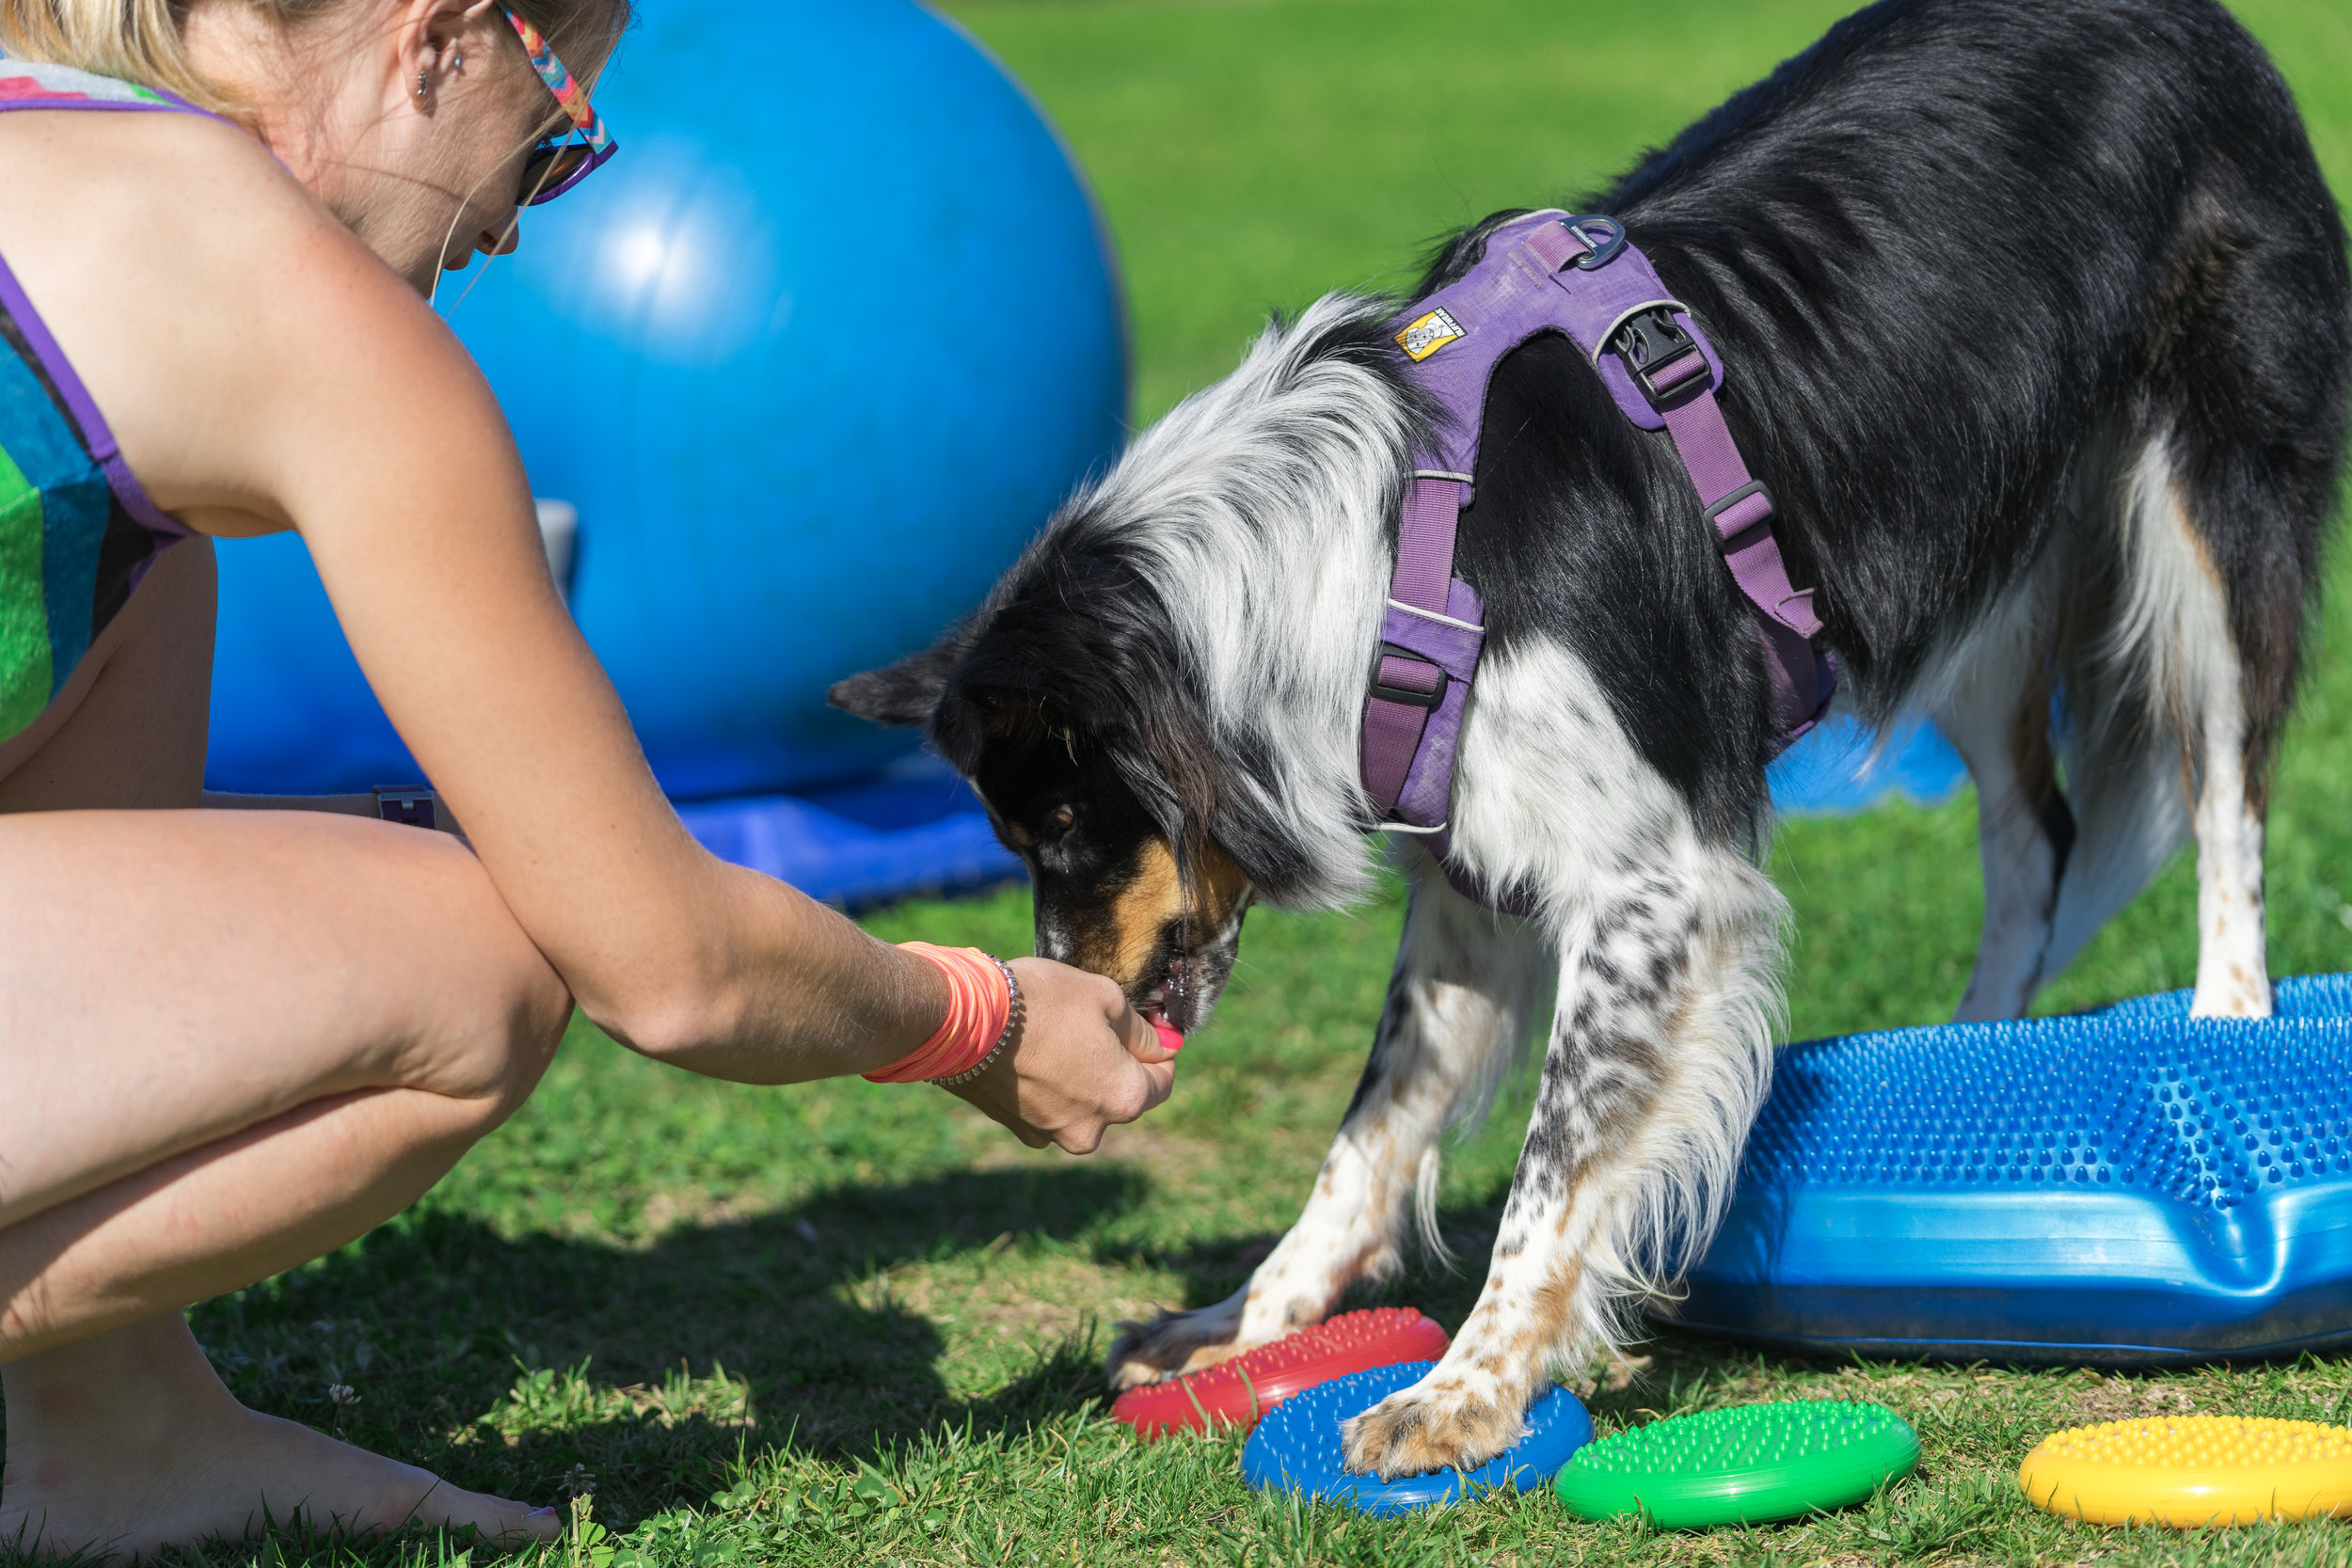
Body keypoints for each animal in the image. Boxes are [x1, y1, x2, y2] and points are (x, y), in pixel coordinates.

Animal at [837, 0, 2343, 1485]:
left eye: (1064, 827)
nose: (1071, 1002)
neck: (1368, 556)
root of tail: (2197, 22)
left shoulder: (1651, 889)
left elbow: (1556, 1163)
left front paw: (1464, 1386)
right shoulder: (1469, 859)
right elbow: (1371, 1125)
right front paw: (1250, 1320)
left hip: (2206, 503)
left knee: (2224, 786)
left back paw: (2228, 1019)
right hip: (1968, 574)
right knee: (2038, 834)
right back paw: (1964, 1052)